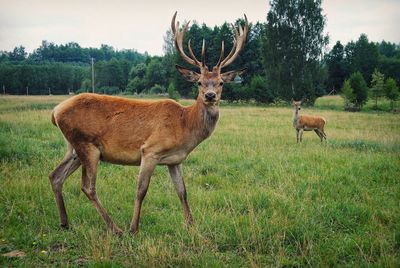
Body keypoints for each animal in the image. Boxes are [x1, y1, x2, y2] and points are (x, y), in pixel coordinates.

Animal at [48, 12, 248, 234]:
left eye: (220, 82)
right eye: (199, 82)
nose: (210, 95)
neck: (185, 125)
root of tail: (55, 111)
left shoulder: (175, 160)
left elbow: (182, 191)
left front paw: (191, 225)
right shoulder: (150, 151)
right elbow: (141, 190)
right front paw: (133, 228)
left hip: (74, 147)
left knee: (55, 176)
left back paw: (65, 222)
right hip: (86, 144)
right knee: (87, 186)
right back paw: (114, 228)